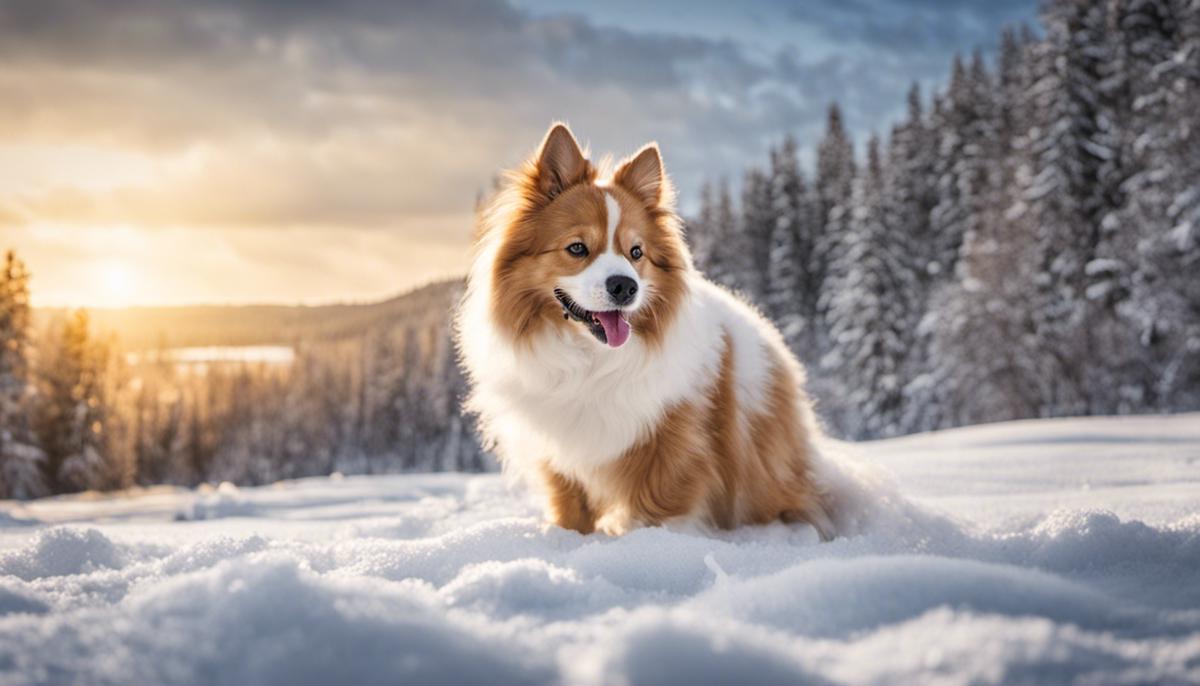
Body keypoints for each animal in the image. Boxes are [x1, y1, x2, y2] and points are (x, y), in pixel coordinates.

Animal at [458, 124, 835, 542]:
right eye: (577, 248)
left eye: (636, 252)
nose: (625, 286)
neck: (590, 361)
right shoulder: (561, 455)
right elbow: (571, 507)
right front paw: (570, 538)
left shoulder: (670, 445)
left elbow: (656, 507)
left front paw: (643, 545)